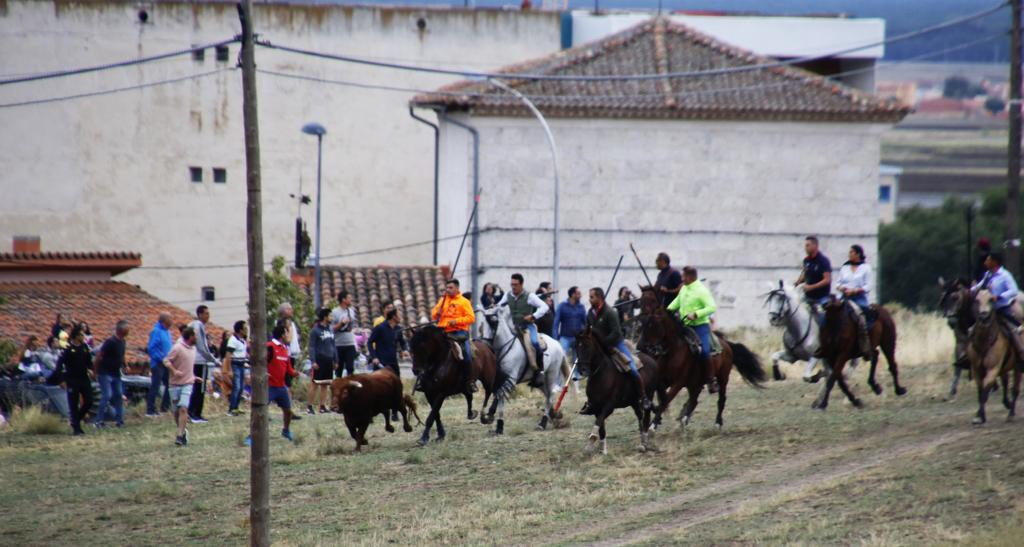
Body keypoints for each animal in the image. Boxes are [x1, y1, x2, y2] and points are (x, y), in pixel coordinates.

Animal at [477, 305, 573, 438]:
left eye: (494, 322)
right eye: (482, 323)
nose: (484, 344)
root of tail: (557, 344)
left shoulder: (510, 379)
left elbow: (499, 398)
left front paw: (494, 421)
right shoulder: (501, 380)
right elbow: (498, 398)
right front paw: (495, 423)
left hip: (551, 375)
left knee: (550, 397)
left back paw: (542, 423)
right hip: (540, 381)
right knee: (548, 395)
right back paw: (554, 414)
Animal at [573, 327, 659, 456]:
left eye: (587, 346)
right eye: (576, 347)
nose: (582, 370)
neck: (601, 374)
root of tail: (652, 360)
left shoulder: (609, 406)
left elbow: (598, 422)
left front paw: (590, 443)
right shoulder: (596, 407)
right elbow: (601, 428)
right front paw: (602, 449)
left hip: (648, 395)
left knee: (646, 417)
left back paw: (643, 444)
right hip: (634, 402)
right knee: (640, 416)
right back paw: (642, 440)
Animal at [634, 288, 765, 430]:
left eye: (652, 324)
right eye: (641, 323)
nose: (640, 346)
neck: (672, 350)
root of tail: (726, 344)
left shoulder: (678, 383)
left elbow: (666, 399)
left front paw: (653, 425)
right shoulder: (662, 381)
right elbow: (660, 399)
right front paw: (654, 419)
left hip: (722, 378)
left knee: (721, 399)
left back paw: (717, 422)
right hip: (695, 383)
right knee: (694, 399)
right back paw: (684, 417)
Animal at [962, 288, 1019, 426]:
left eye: (991, 299)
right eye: (977, 300)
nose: (984, 315)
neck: (984, 342)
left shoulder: (992, 369)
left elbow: (985, 392)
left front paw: (980, 417)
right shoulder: (976, 370)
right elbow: (980, 391)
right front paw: (979, 415)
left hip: (1018, 367)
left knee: (1015, 389)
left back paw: (1011, 414)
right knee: (1005, 382)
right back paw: (1007, 404)